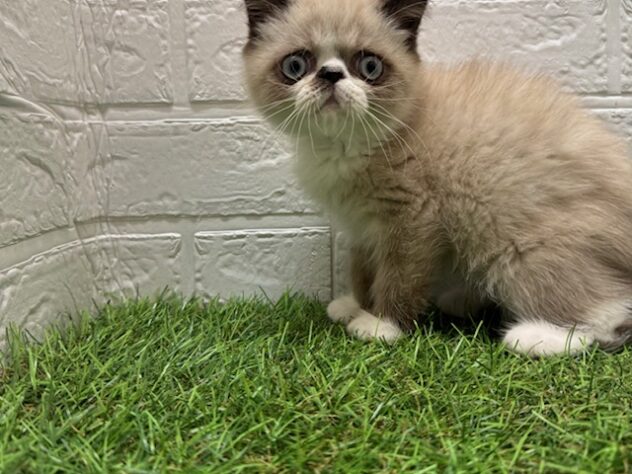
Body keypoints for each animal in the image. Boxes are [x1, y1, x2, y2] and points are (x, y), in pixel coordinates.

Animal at [241, 0, 632, 356]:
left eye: (370, 66)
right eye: (296, 65)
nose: (331, 74)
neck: (345, 147)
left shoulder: (414, 214)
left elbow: (399, 274)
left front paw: (381, 324)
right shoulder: (361, 226)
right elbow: (362, 269)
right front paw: (356, 304)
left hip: (520, 250)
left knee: (610, 312)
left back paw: (534, 336)